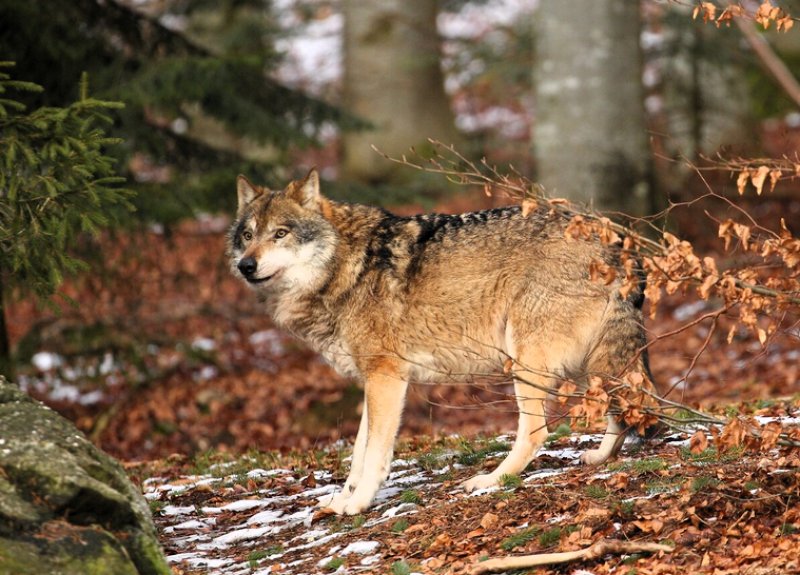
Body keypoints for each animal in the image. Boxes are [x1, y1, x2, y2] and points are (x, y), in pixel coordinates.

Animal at [227, 168, 660, 515]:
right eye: (248, 235)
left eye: (280, 234)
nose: (246, 265)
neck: (347, 267)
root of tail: (615, 240)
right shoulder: (374, 380)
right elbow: (357, 453)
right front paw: (342, 499)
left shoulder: (386, 378)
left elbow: (374, 454)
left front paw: (359, 504)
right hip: (590, 362)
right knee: (620, 406)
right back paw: (601, 456)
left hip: (526, 362)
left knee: (537, 432)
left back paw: (490, 481)